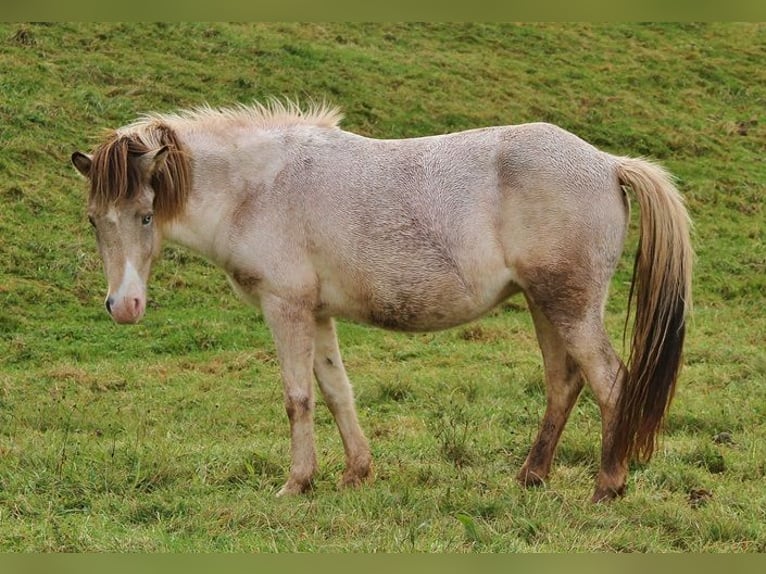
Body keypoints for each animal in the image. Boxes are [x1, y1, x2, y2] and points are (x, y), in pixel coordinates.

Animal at [73, 101, 696, 502]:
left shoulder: (286, 308)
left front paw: (296, 483)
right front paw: (356, 472)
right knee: (564, 385)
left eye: (145, 216)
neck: (258, 187)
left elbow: (298, 397)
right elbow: (337, 391)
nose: (123, 305)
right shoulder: (318, 314)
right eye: (95, 220)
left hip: (570, 307)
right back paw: (531, 476)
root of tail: (608, 163)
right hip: (546, 306)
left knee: (610, 383)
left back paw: (607, 486)